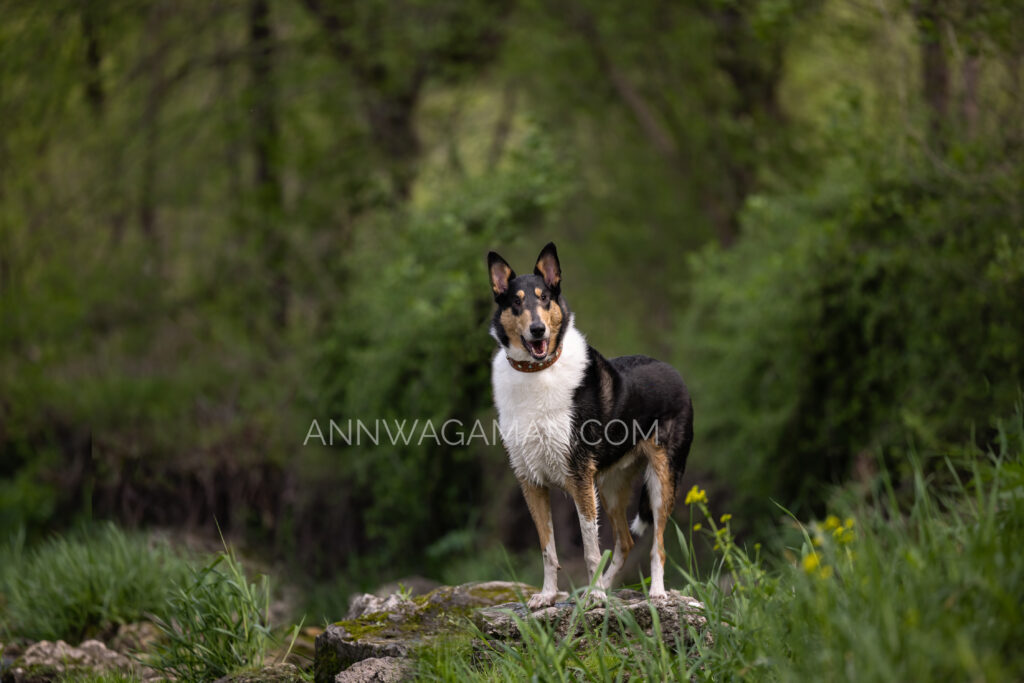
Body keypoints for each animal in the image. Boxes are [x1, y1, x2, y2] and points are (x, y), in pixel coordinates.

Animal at [487, 242, 696, 606]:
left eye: (545, 298)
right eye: (516, 302)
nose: (538, 330)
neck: (537, 371)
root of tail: (675, 371)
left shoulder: (579, 478)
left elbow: (589, 548)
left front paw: (595, 598)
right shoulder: (531, 481)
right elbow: (548, 549)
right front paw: (547, 596)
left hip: (661, 480)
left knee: (657, 545)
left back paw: (654, 593)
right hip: (612, 488)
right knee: (625, 542)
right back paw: (599, 588)